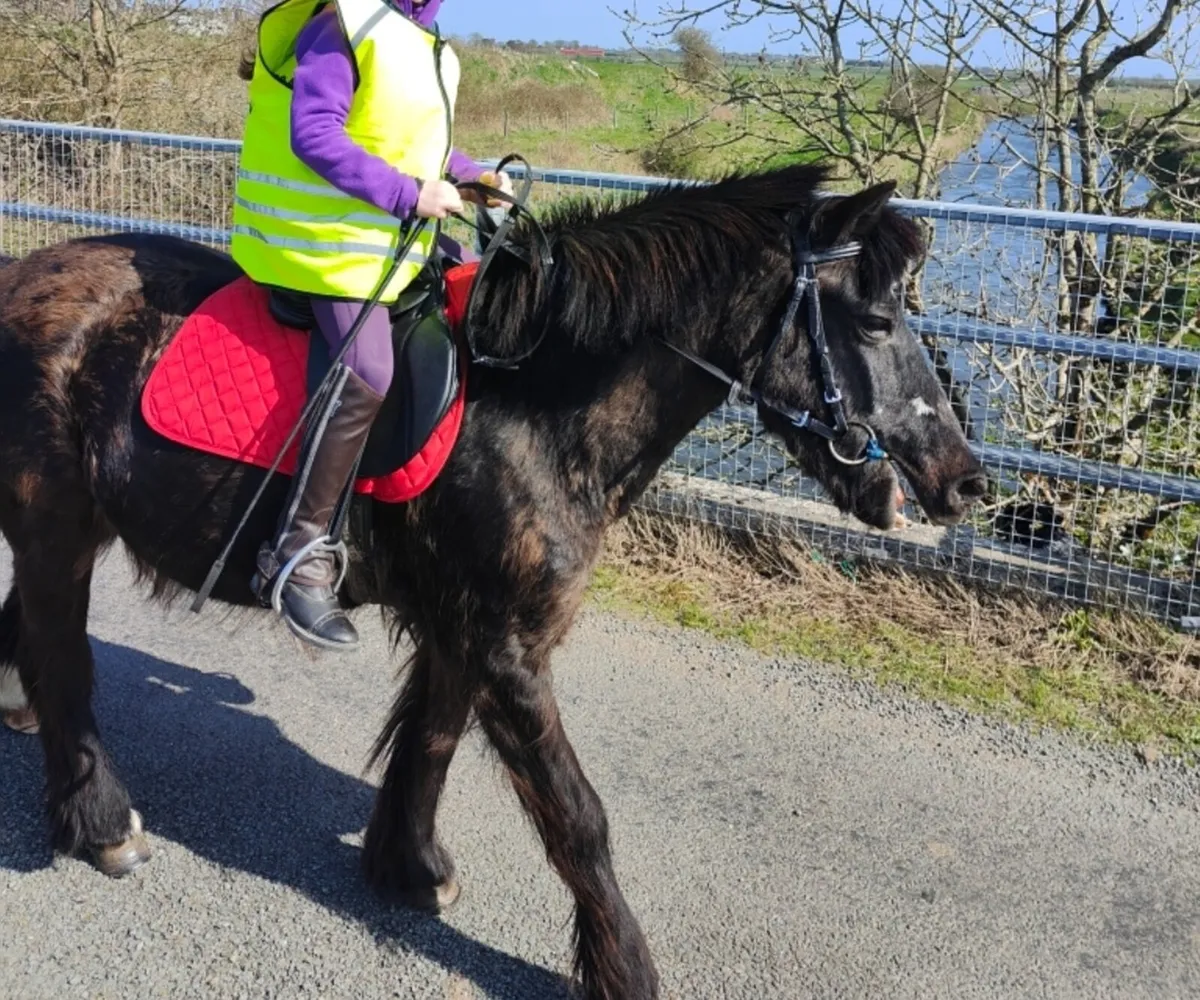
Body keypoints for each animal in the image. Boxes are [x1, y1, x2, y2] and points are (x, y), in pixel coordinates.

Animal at [0, 164, 986, 1000]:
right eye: (874, 321)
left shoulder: (462, 628)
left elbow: (431, 741)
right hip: (55, 526)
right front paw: (625, 970)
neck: (539, 408)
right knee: (62, 657)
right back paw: (100, 822)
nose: (965, 479)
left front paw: (407, 866)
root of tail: (23, 274)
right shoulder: (507, 645)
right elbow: (578, 818)